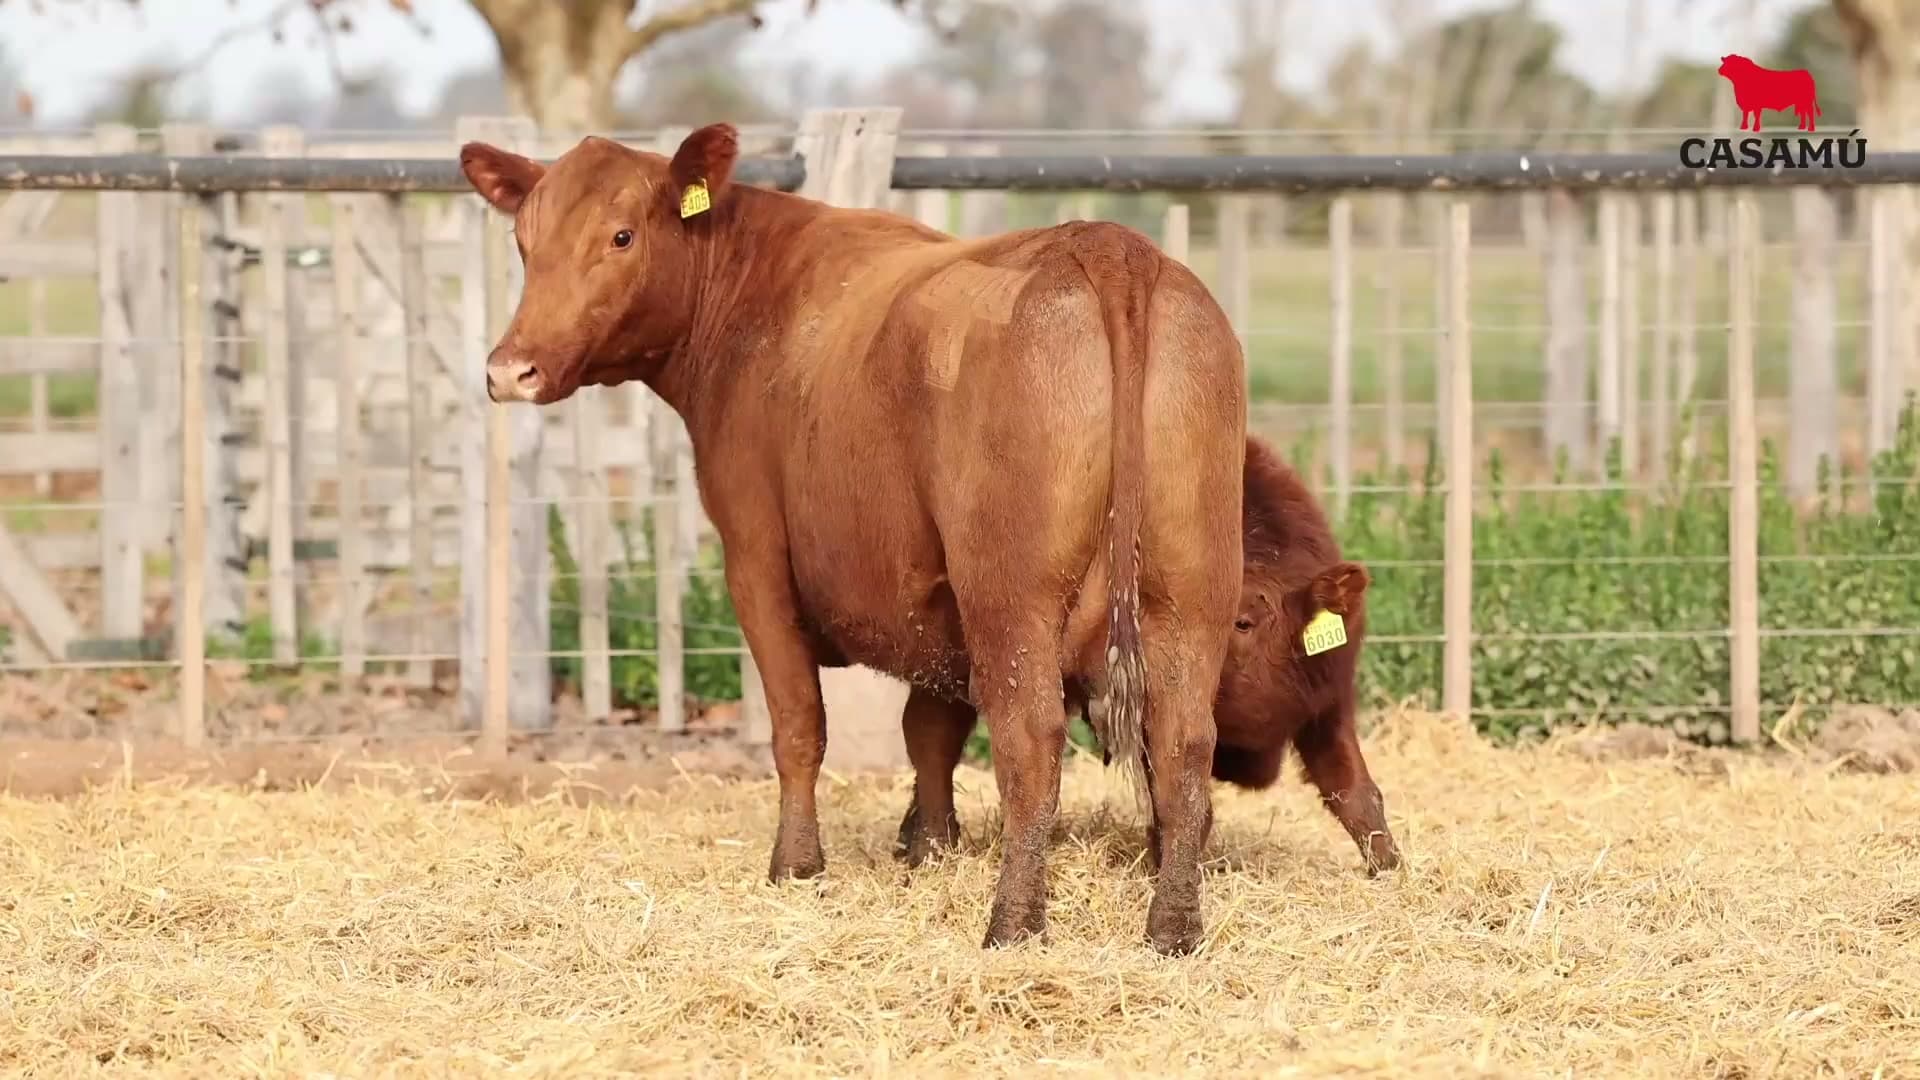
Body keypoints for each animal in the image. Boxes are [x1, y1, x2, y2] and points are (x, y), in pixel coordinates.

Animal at [456, 124, 1246, 955]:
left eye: (621, 235)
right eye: (524, 240)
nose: (509, 369)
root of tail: (1107, 246)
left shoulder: (756, 560)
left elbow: (802, 724)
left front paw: (797, 864)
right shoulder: (933, 604)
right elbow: (929, 726)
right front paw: (928, 843)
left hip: (1010, 597)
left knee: (1031, 738)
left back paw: (1013, 922)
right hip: (1192, 593)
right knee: (1184, 742)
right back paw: (1173, 925)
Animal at [892, 436, 1402, 877]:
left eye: (1241, 620)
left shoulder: (1328, 702)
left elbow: (1356, 794)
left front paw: (1393, 870)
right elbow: (1185, 808)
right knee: (932, 736)